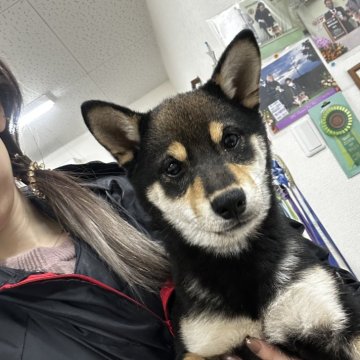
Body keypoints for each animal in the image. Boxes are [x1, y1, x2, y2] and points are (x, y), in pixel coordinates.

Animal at [81, 31, 360, 360]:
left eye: (230, 140)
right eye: (172, 168)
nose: (230, 203)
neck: (241, 266)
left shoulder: (338, 321)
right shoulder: (198, 347)